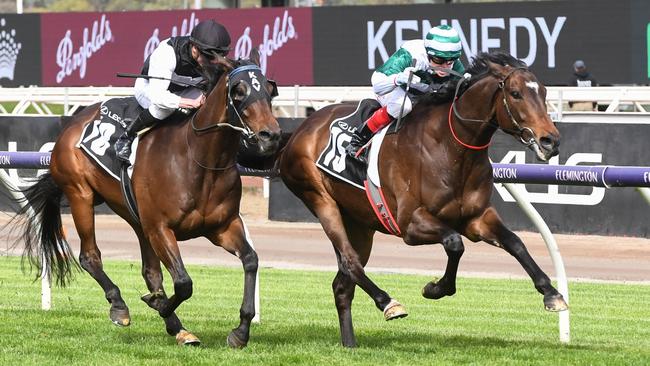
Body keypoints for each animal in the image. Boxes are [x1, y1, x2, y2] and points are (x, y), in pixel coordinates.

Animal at [12, 53, 280, 346]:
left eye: (270, 90)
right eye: (239, 91)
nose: (271, 135)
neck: (199, 160)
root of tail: (73, 122)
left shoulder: (222, 227)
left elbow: (251, 260)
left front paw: (241, 331)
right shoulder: (161, 228)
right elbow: (184, 283)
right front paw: (158, 304)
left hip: (136, 217)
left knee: (150, 271)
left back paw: (177, 327)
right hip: (80, 194)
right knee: (90, 256)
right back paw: (120, 306)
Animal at [278, 51, 568, 346]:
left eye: (543, 92)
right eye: (515, 93)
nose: (550, 141)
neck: (449, 149)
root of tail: (301, 129)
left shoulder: (477, 218)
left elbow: (515, 243)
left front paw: (551, 293)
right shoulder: (410, 224)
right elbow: (454, 243)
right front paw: (436, 288)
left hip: (360, 222)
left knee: (342, 284)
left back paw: (350, 344)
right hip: (321, 200)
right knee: (350, 261)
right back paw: (388, 303)